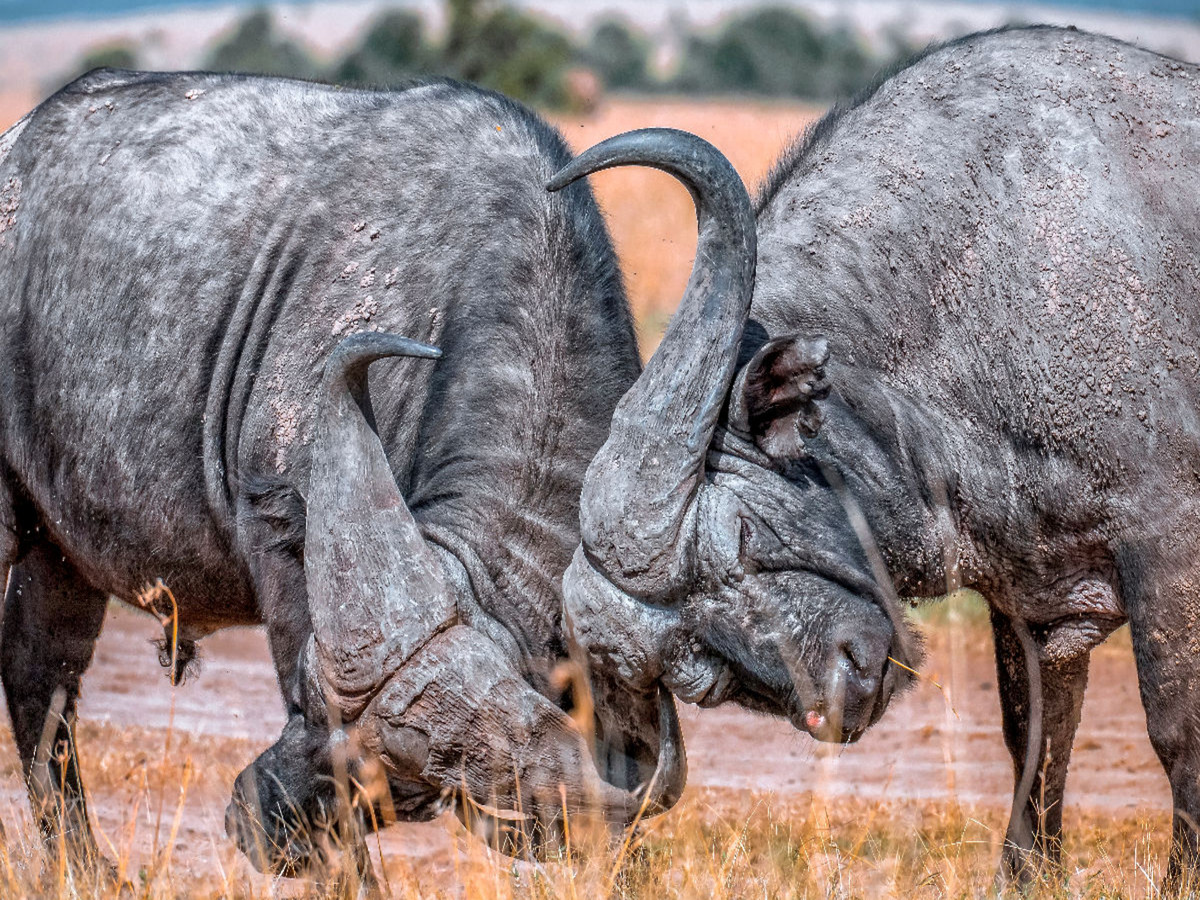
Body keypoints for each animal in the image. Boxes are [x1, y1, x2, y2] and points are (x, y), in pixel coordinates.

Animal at [0, 68, 700, 883]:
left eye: (416, 790)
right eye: (308, 699)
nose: (257, 822)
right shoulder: (287, 534)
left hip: (60, 551)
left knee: (39, 672)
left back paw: (84, 867)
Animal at [556, 28, 1200, 888]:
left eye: (742, 542)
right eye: (697, 663)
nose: (840, 689)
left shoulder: (1169, 547)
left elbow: (1176, 731)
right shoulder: (1032, 601)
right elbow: (1035, 735)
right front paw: (1025, 875)